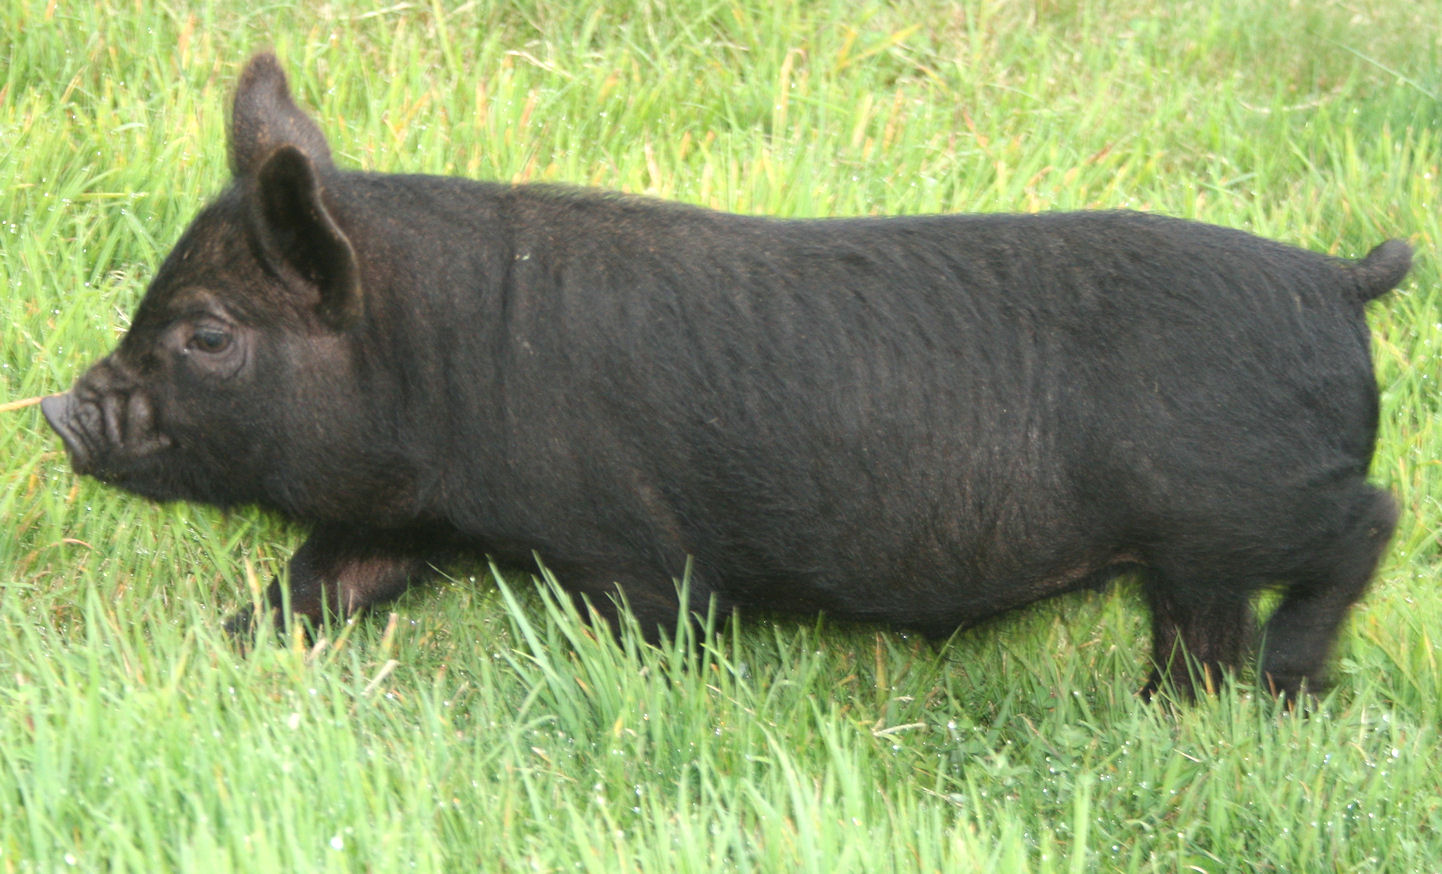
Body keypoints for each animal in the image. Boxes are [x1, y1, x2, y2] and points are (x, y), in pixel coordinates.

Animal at [42, 51, 1407, 700]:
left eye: (207, 334)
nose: (58, 408)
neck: (437, 360)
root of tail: (1336, 279)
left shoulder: (631, 548)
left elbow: (647, 634)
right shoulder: (402, 518)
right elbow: (314, 586)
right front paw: (213, 649)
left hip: (1236, 506)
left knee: (1370, 519)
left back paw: (1287, 681)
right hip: (1192, 558)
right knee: (1200, 640)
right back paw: (1179, 707)